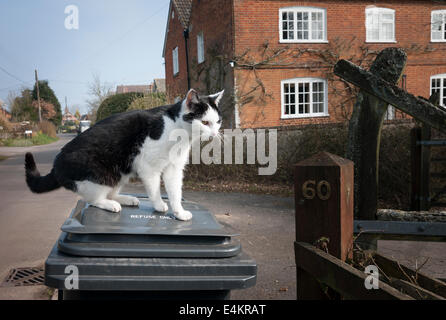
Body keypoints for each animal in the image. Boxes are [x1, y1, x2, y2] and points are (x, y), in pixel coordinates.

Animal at [24, 89, 223, 221]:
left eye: (218, 122)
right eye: (205, 122)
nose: (214, 134)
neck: (176, 129)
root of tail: (56, 165)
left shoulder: (174, 168)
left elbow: (175, 192)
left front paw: (179, 212)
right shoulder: (148, 166)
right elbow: (154, 189)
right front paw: (159, 205)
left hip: (120, 171)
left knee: (110, 193)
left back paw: (126, 199)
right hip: (100, 175)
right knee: (92, 199)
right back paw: (110, 204)